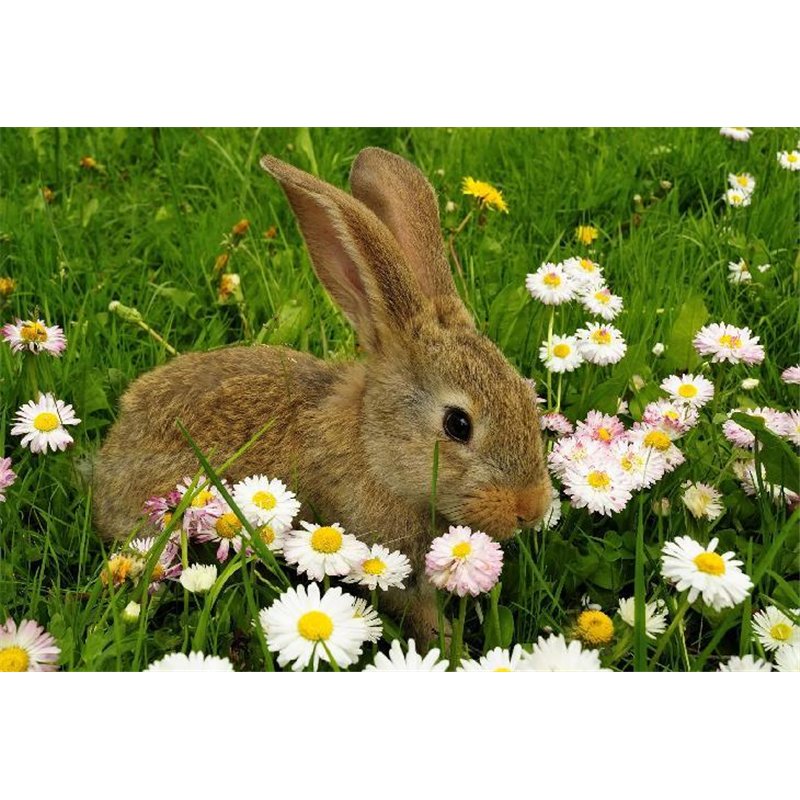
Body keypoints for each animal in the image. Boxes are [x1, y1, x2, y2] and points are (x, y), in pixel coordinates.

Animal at [92, 147, 552, 644]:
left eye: (527, 395)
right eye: (457, 424)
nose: (531, 508)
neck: (372, 444)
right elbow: (420, 611)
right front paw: (451, 645)